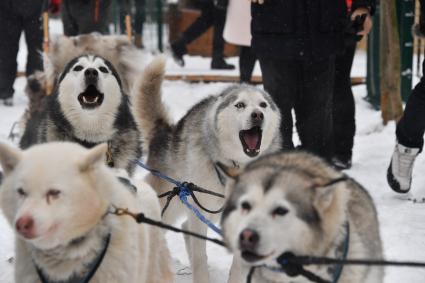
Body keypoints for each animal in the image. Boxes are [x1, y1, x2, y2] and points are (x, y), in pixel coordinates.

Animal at [134, 56, 282, 282]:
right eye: (240, 105)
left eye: (263, 105)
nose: (258, 115)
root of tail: (167, 133)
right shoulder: (199, 212)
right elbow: (199, 255)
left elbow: (238, 266)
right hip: (172, 203)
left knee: (185, 228)